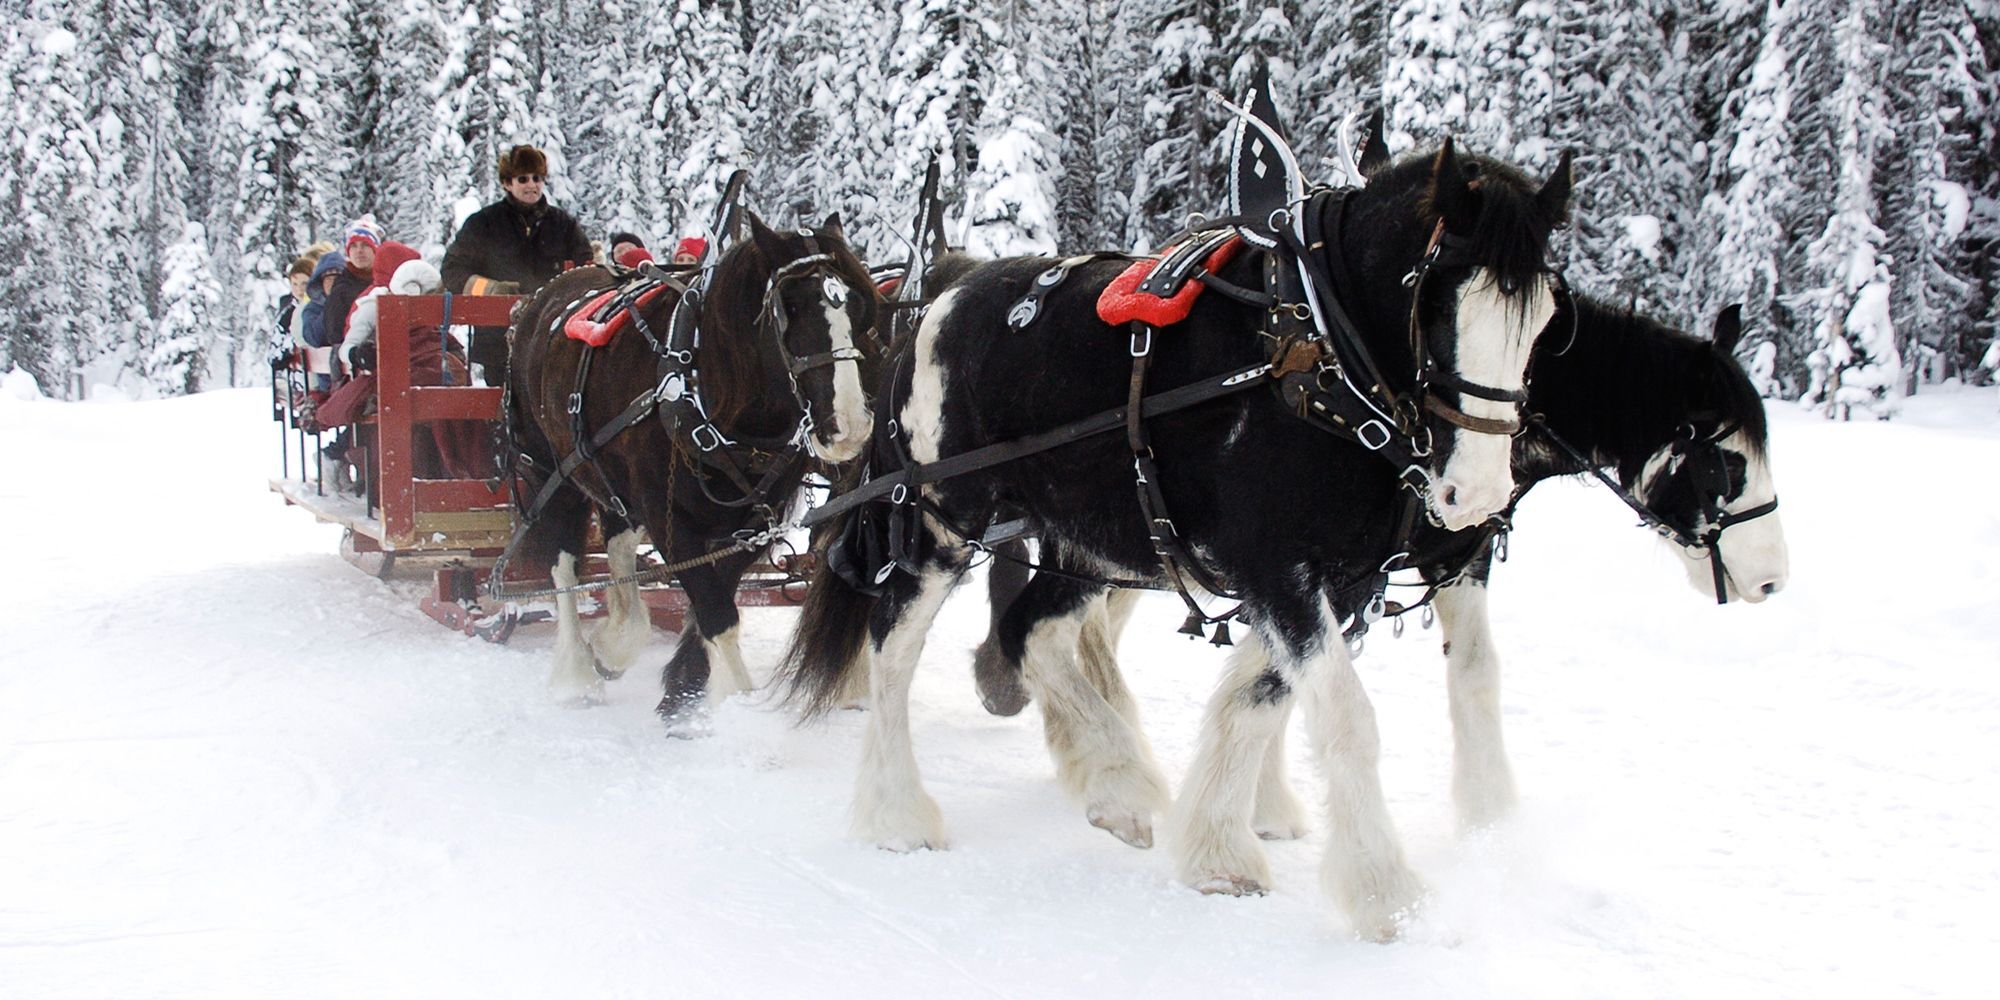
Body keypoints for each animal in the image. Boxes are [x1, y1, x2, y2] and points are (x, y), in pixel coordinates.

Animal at [504, 213, 881, 732]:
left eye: (860, 309)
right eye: (790, 308)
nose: (848, 425)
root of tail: (541, 294)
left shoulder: (750, 524)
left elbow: (712, 598)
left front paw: (684, 687)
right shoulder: (671, 521)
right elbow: (716, 611)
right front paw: (738, 708)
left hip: (609, 477)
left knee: (618, 545)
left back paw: (614, 641)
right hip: (551, 474)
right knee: (563, 566)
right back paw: (577, 674)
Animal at [780, 142, 1574, 941]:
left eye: (1545, 318)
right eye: (1434, 301)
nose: (1477, 496)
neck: (1313, 352)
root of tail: (938, 300)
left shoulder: (1341, 580)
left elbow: (1260, 699)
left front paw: (1220, 849)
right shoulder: (1280, 568)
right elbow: (1345, 718)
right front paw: (1387, 893)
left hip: (1087, 539)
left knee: (1031, 629)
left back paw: (1118, 783)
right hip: (942, 522)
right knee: (893, 647)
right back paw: (897, 813)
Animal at [968, 295, 1791, 871]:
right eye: (1726, 461)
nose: (1774, 580)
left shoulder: (1436, 561)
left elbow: (1467, 675)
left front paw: (1489, 816)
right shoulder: (1308, 573)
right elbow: (1281, 690)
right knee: (1046, 629)